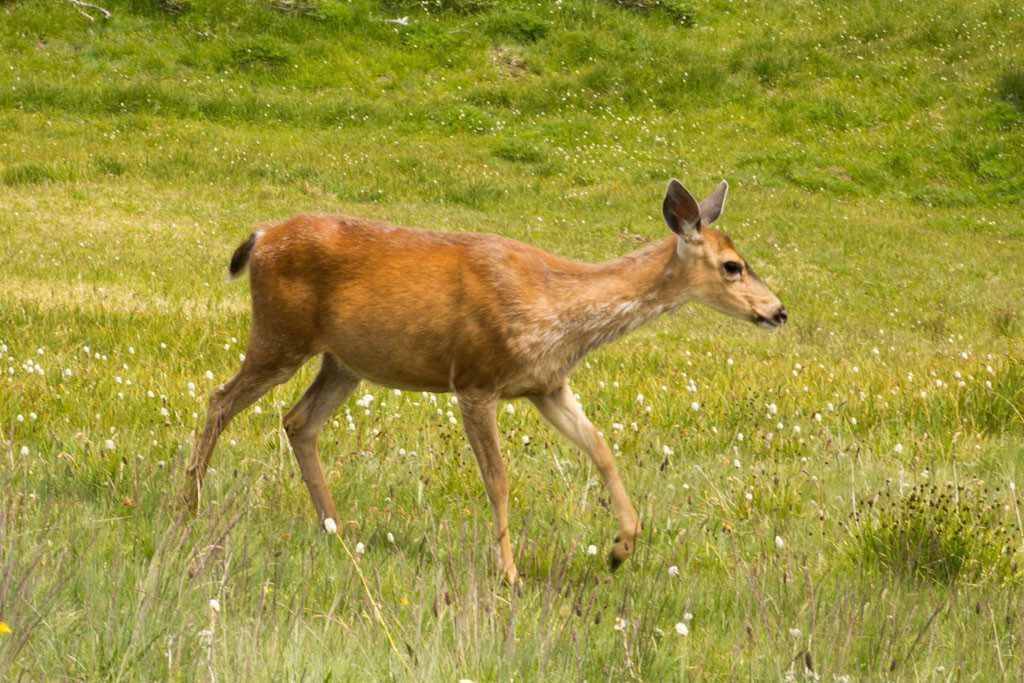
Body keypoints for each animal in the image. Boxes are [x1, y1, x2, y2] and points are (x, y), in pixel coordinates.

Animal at [182, 179, 782, 585]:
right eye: (733, 265)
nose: (778, 311)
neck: (558, 307)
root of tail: (261, 236)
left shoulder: (546, 385)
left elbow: (603, 449)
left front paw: (620, 548)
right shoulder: (475, 378)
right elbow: (498, 480)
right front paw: (509, 574)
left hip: (343, 360)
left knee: (298, 420)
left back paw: (336, 529)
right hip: (280, 334)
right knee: (220, 400)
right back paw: (189, 506)